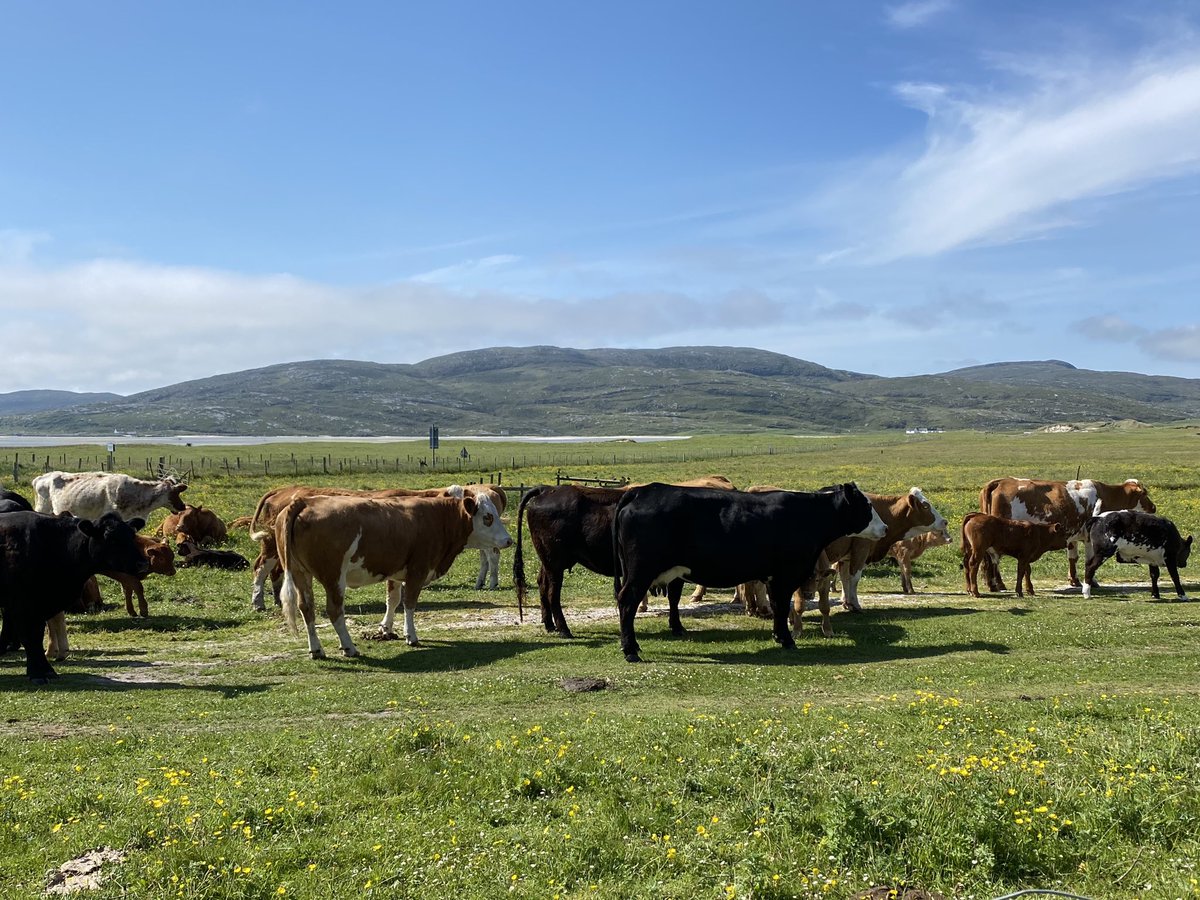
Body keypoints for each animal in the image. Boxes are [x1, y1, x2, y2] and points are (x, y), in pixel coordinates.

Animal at [0, 513, 150, 681]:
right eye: (110, 538)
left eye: (132, 535)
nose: (143, 563)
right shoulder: (22, 604)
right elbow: (30, 637)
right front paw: (37, 673)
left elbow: (37, 636)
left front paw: (46, 670)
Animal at [274, 489, 511, 657]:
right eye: (488, 517)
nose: (508, 540)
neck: (437, 517)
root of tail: (304, 501)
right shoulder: (418, 569)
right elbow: (409, 603)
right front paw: (411, 635)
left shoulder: (396, 571)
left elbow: (393, 600)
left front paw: (386, 629)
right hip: (333, 578)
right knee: (334, 611)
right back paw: (349, 647)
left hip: (300, 573)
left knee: (306, 608)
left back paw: (316, 649)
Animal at [614, 487, 888, 662]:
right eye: (867, 506)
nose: (885, 528)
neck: (806, 515)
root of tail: (642, 491)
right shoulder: (786, 574)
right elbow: (782, 606)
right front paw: (787, 640)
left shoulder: (774, 577)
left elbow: (778, 605)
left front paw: (779, 636)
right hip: (640, 572)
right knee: (627, 602)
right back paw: (631, 651)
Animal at [979, 475, 1156, 595]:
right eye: (1144, 493)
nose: (1153, 507)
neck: (1107, 495)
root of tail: (1000, 481)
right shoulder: (1090, 537)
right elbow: (1089, 560)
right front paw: (1091, 581)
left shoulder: (1073, 536)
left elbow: (1073, 558)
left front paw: (1074, 580)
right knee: (993, 558)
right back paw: (998, 584)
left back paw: (992, 584)